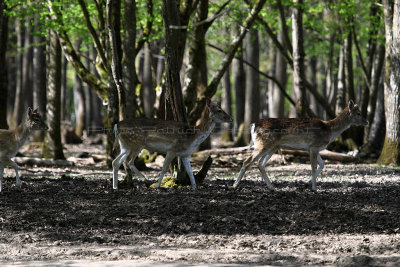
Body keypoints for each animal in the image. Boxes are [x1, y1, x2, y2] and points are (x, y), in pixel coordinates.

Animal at [234, 99, 368, 192]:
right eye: (358, 113)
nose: (366, 122)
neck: (330, 131)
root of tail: (253, 125)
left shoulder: (313, 148)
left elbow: (322, 164)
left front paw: (307, 183)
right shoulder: (314, 146)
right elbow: (313, 166)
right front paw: (314, 188)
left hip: (272, 147)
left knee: (260, 164)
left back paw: (272, 187)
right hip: (263, 144)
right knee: (248, 161)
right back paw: (234, 185)